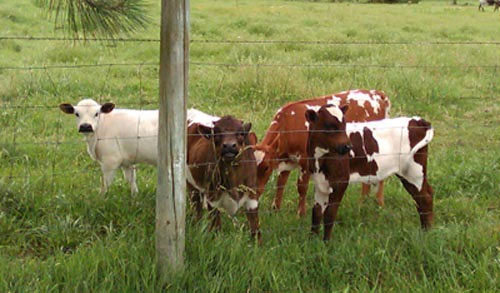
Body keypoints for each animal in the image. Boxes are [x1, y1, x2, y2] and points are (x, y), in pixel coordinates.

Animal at [254, 89, 390, 217]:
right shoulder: (286, 160)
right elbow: (280, 184)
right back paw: (362, 203)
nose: (254, 192)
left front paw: (300, 214)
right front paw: (275, 209)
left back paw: (380, 205)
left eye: (266, 167)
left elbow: (301, 187)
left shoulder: (305, 161)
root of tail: (376, 93)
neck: (288, 124)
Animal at [304, 104, 434, 240]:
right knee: (423, 196)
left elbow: (330, 214)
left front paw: (326, 242)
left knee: (425, 197)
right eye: (328, 126)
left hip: (414, 172)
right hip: (408, 174)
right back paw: (425, 230)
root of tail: (417, 120)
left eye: (344, 124)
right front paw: (312, 240)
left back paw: (427, 232)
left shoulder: (340, 181)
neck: (319, 160)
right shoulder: (319, 182)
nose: (347, 147)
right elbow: (316, 212)